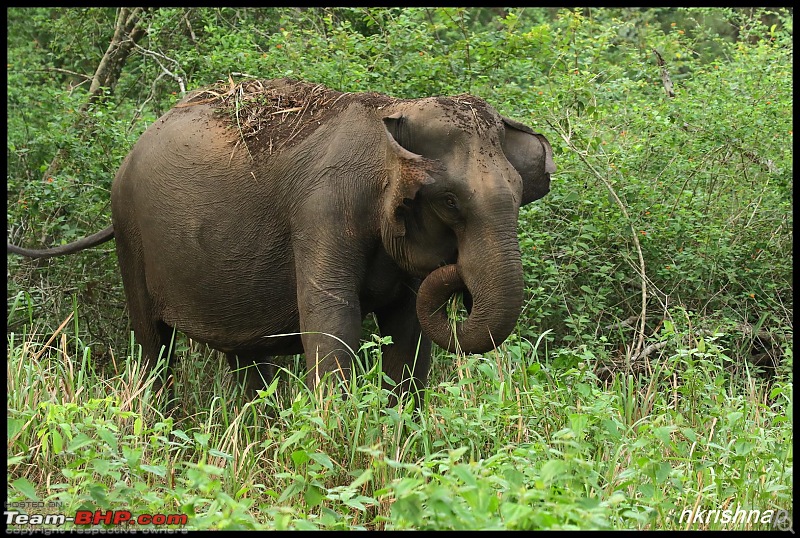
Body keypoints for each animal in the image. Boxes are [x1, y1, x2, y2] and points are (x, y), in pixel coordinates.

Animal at [7, 76, 556, 402]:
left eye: (518, 195)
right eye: (450, 202)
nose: (460, 282)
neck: (393, 117)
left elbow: (408, 330)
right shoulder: (322, 211)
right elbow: (332, 320)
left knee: (244, 354)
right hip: (131, 234)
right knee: (153, 343)